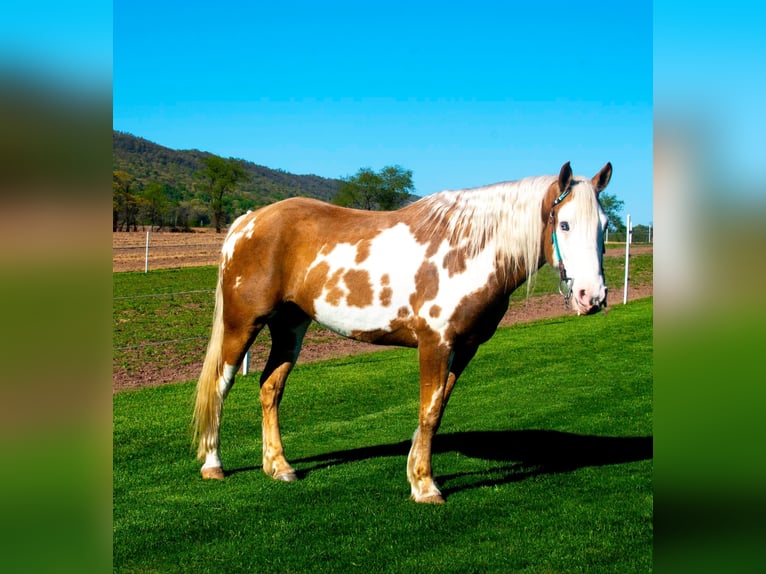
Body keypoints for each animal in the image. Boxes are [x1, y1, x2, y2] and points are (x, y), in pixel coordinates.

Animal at [195, 161, 616, 504]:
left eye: (606, 226)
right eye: (564, 224)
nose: (592, 296)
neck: (468, 251)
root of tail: (248, 221)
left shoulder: (465, 348)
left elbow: (438, 409)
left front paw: (416, 470)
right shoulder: (435, 344)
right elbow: (428, 412)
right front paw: (426, 486)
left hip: (290, 326)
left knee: (270, 388)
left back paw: (279, 466)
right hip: (242, 323)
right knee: (220, 385)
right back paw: (213, 464)